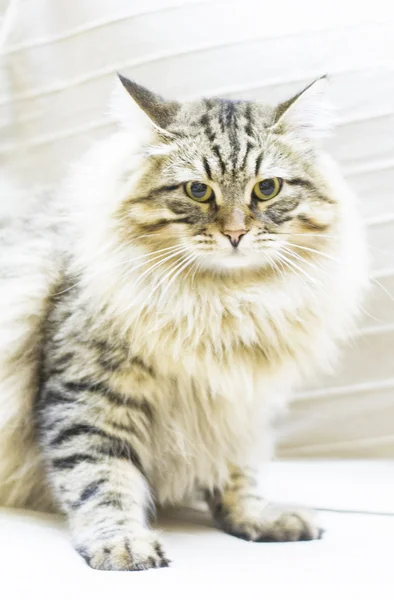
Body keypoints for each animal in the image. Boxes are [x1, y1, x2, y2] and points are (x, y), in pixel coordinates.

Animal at [0, 72, 368, 568]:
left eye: (267, 188)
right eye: (198, 190)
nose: (236, 233)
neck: (225, 306)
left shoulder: (234, 402)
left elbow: (237, 476)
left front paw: (255, 518)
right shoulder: (89, 395)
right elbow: (101, 480)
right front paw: (122, 542)